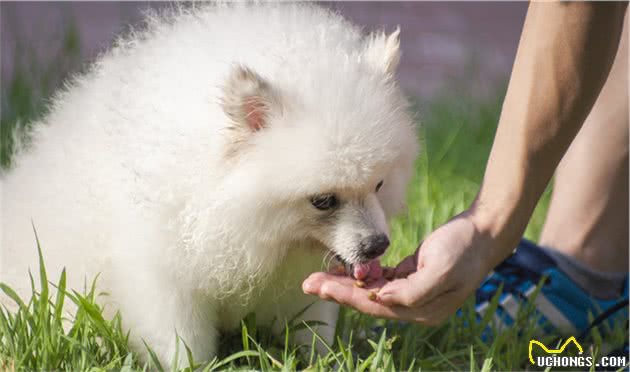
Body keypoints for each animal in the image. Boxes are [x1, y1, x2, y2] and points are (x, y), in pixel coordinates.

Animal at [0, 2, 420, 366]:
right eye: (322, 200)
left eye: (379, 184)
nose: (377, 245)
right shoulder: (161, 271)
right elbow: (180, 340)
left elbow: (312, 326)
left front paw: (323, 360)